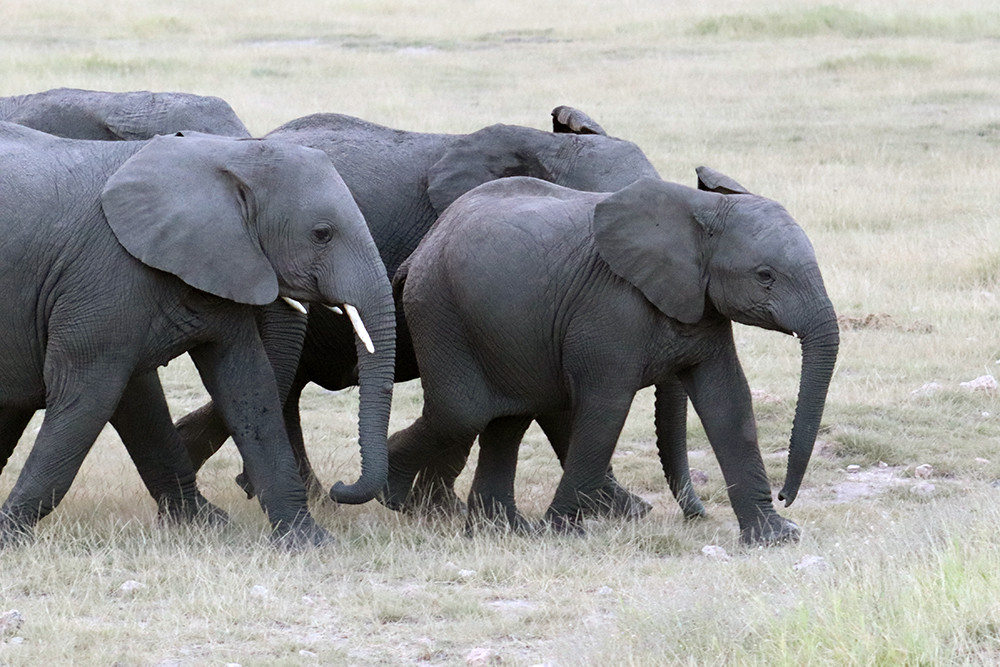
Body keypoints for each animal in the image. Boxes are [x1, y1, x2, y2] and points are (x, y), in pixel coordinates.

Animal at [0, 122, 395, 548]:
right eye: (322, 234)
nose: (341, 487)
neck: (220, 155)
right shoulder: (105, 277)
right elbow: (89, 396)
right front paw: (8, 536)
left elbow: (244, 386)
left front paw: (303, 541)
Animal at [382, 168, 840, 546]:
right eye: (765, 276)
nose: (785, 495)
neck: (701, 210)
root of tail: (424, 245)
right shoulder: (609, 306)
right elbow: (606, 410)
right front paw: (562, 534)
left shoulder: (703, 305)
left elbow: (729, 403)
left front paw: (776, 537)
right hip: (441, 311)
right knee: (463, 414)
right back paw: (387, 493)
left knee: (509, 418)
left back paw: (499, 531)